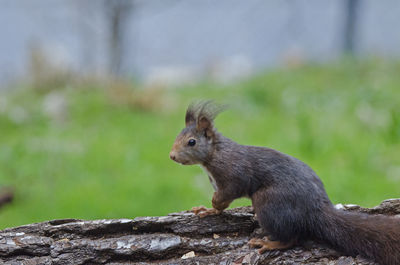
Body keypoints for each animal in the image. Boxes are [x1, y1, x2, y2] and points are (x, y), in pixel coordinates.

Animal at [169, 100, 400, 264]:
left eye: (192, 142)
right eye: (177, 137)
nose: (171, 156)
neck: (214, 154)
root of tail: (315, 209)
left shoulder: (232, 176)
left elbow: (226, 194)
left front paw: (212, 204)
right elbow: (220, 206)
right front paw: (207, 210)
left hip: (267, 203)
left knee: (291, 238)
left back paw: (270, 244)